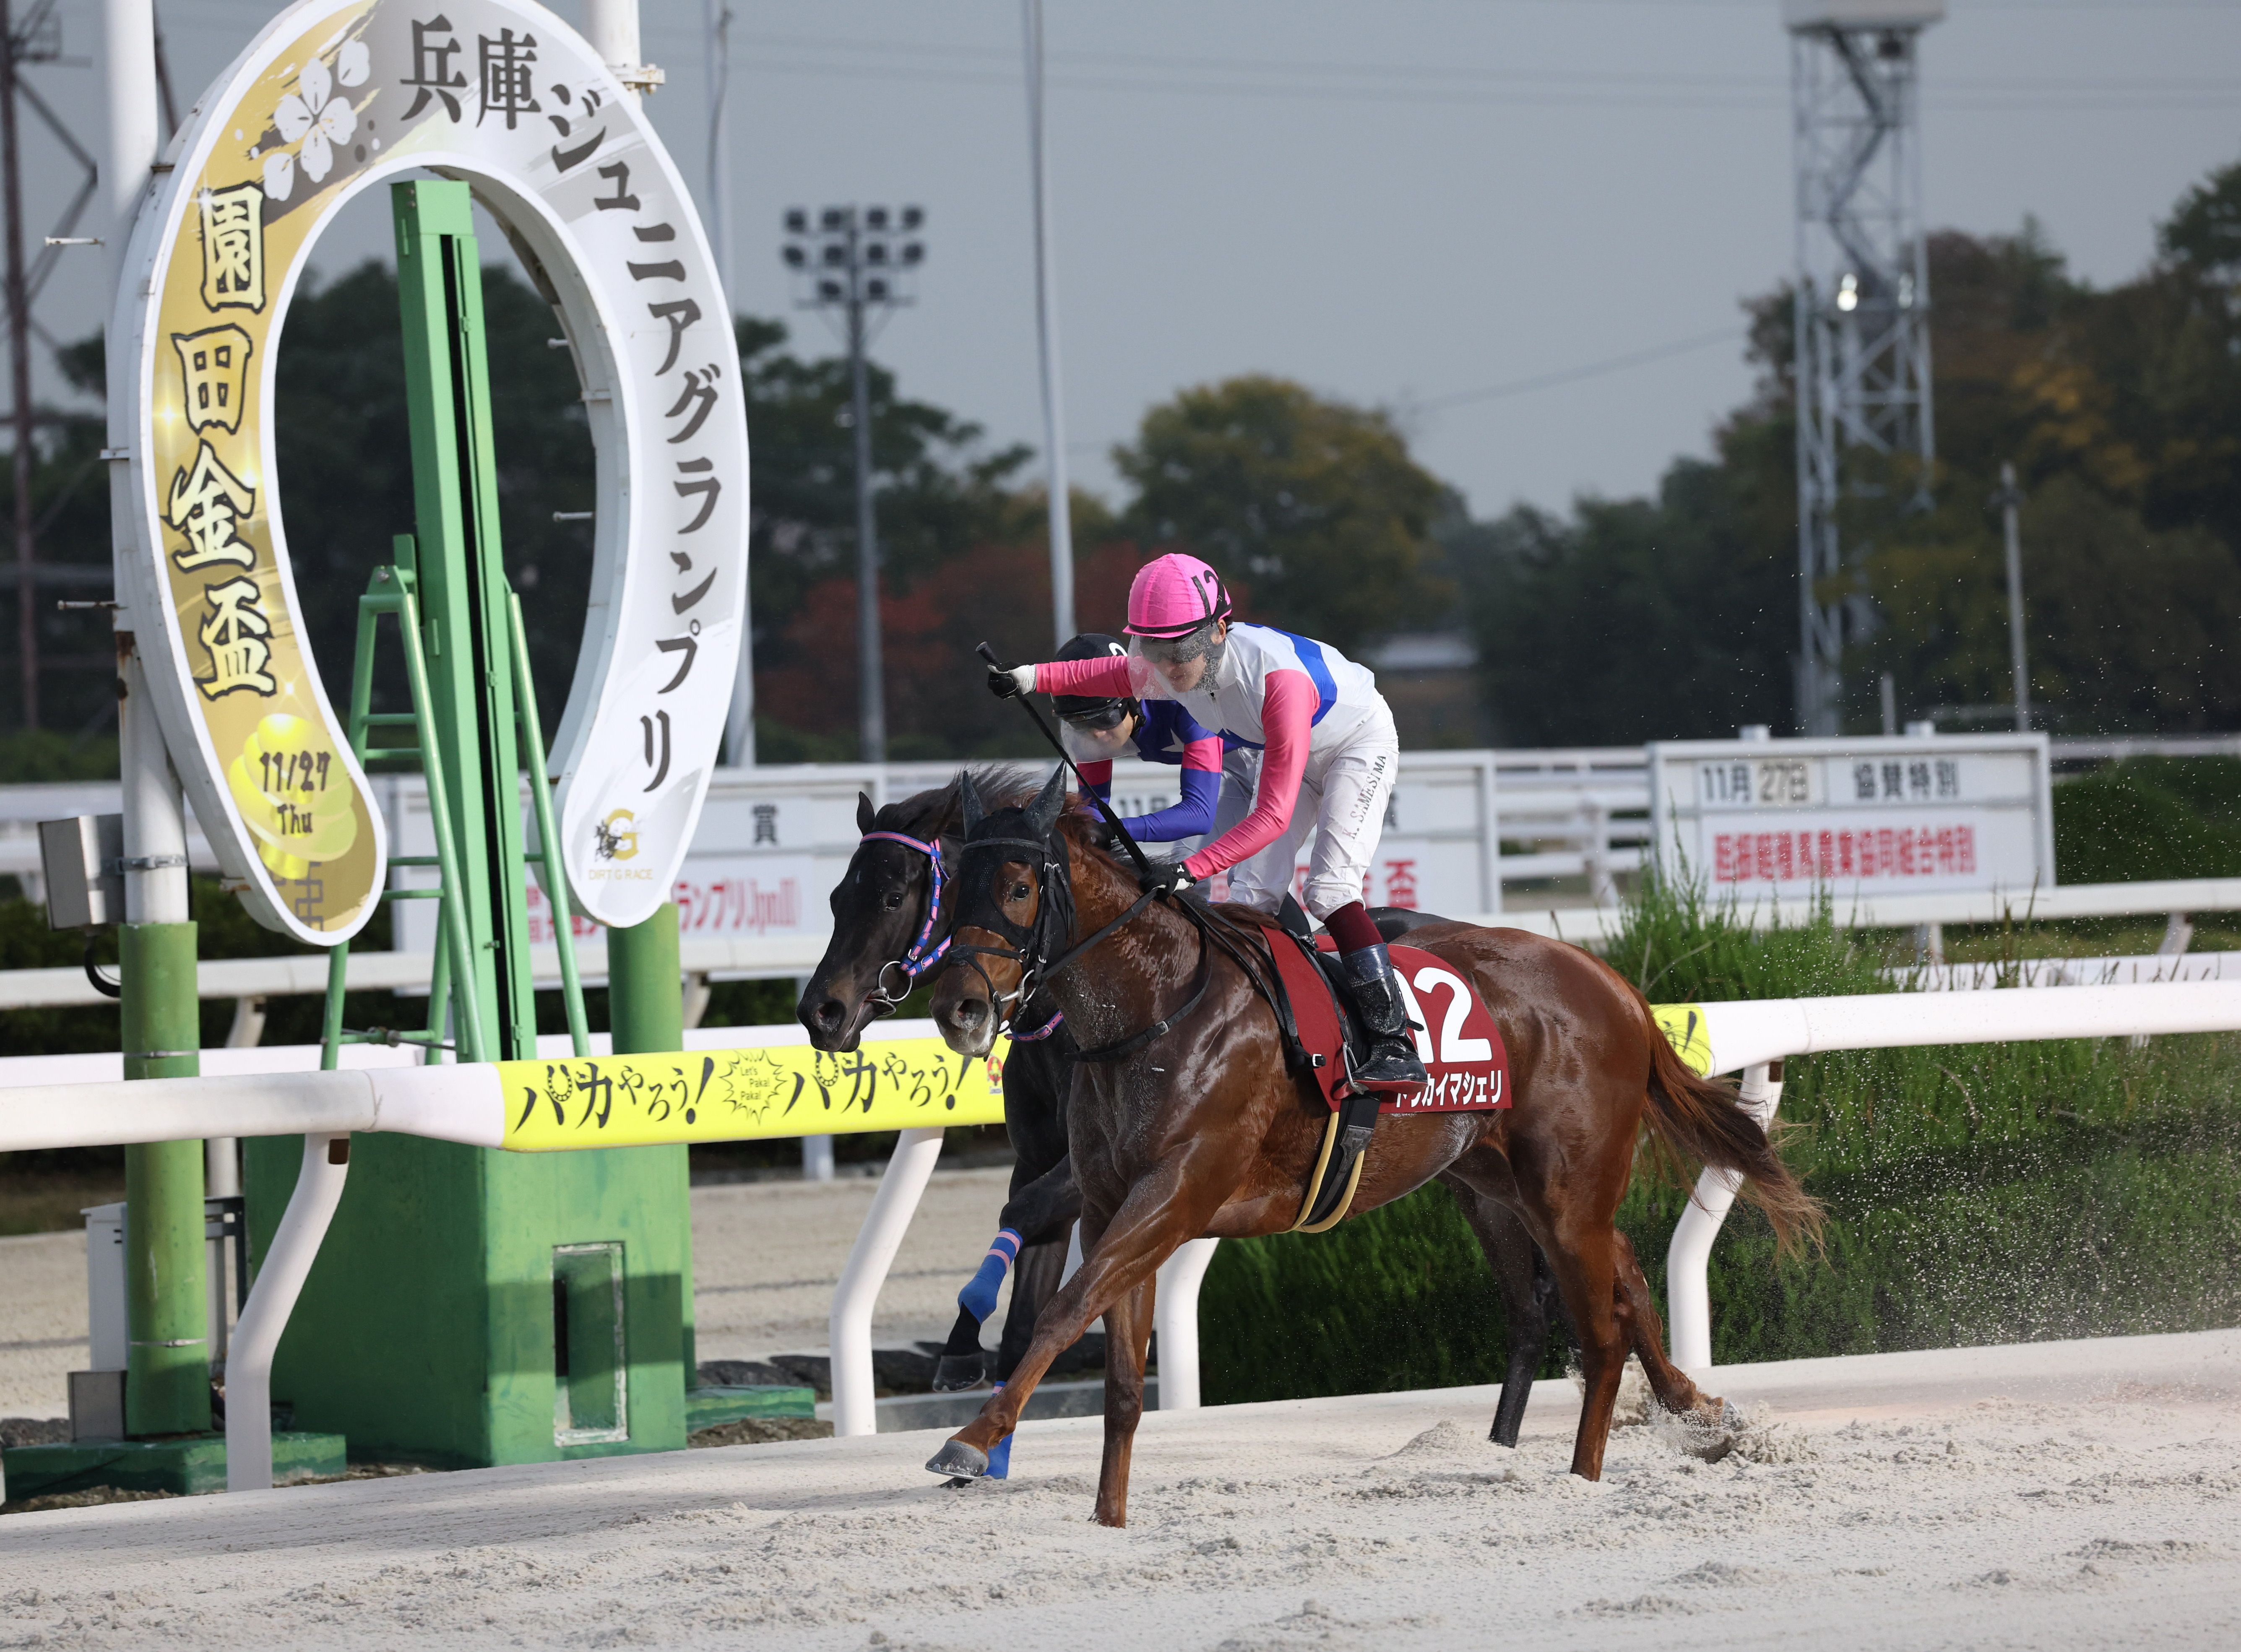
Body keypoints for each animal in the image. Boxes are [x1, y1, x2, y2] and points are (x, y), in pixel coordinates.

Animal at [797, 769, 1571, 1430]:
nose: (820, 1012)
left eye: (894, 895)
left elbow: (1021, 1219)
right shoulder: (1053, 1157)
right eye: (835, 897)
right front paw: (977, 1369)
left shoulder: (1110, 1165)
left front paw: (966, 1354)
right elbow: (1025, 1281)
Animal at [921, 767, 1819, 1527]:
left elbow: (1067, 1307)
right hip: (1498, 1182)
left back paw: (1583, 1478)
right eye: (950, 887)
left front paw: (971, 1437)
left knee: (1599, 1333)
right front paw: (1107, 1517)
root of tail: (1615, 985)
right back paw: (1693, 1406)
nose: (960, 1006)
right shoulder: (1113, 1200)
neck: (1153, 1007)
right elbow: (1117, 1376)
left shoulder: (1175, 1193)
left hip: (1565, 1191)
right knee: (1625, 1270)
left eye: (1019, 884)